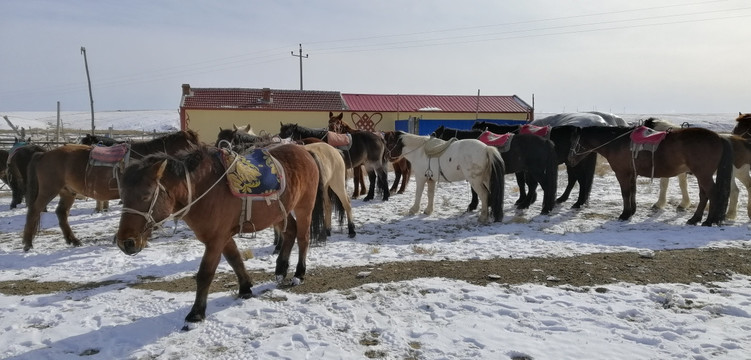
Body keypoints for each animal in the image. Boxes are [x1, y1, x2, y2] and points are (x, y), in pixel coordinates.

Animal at [22, 129, 200, 250]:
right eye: (192, 143)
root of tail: (43, 155)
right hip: (49, 190)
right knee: (34, 210)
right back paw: (28, 243)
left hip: (68, 191)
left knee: (61, 213)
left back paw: (73, 240)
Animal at [113, 144, 324, 326]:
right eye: (122, 196)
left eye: (146, 195)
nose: (126, 242)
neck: (204, 190)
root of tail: (304, 150)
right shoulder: (223, 237)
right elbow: (235, 260)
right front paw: (245, 288)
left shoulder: (215, 240)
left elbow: (205, 274)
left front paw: (196, 313)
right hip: (280, 212)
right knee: (290, 232)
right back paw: (281, 269)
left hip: (304, 207)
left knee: (303, 238)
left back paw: (299, 274)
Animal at [568, 125, 736, 224]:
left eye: (574, 142)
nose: (570, 159)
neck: (617, 142)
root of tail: (719, 137)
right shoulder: (632, 174)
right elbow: (633, 192)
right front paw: (631, 212)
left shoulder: (622, 173)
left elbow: (625, 193)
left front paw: (624, 214)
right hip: (702, 175)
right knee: (704, 195)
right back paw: (695, 219)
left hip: (703, 175)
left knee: (713, 194)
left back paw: (708, 221)